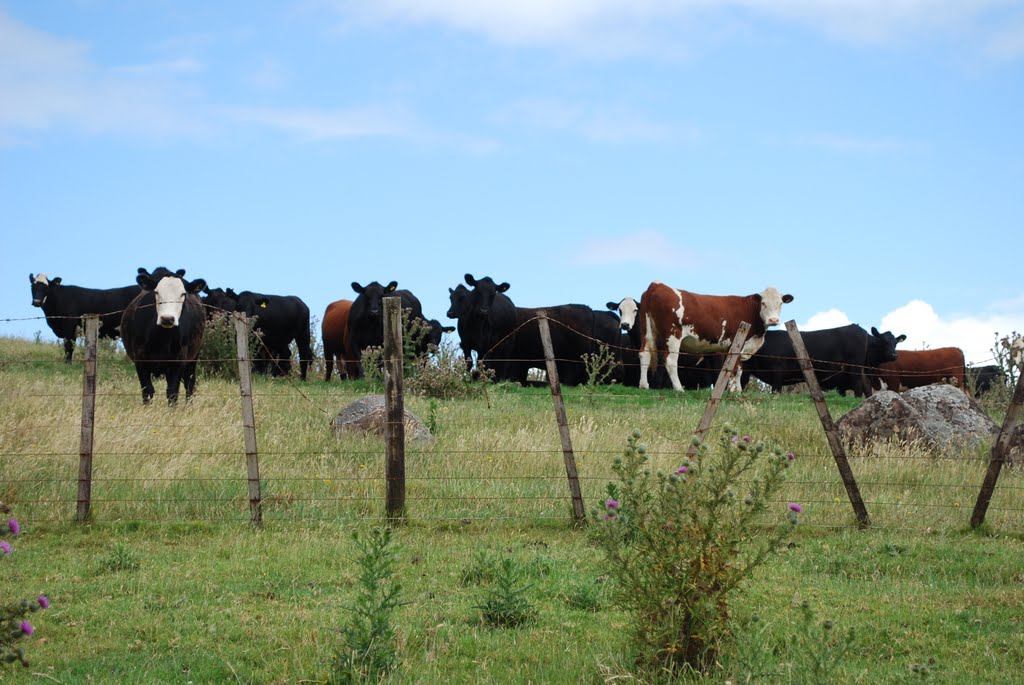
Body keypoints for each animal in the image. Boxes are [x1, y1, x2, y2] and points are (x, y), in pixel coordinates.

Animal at [119, 266, 205, 405]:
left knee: (189, 384)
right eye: (156, 292)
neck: (162, 339)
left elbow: (172, 392)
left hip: (193, 358)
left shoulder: (179, 360)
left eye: (183, 294)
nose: (167, 318)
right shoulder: (140, 359)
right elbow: (147, 391)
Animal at [634, 280, 794, 389]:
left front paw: (735, 390)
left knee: (644, 353)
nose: (773, 320)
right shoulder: (738, 344)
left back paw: (644, 385)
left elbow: (736, 370)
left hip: (647, 331)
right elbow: (736, 370)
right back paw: (679, 388)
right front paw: (735, 391)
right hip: (673, 335)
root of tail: (657, 285)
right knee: (670, 360)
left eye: (780, 303)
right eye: (763, 303)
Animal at [737, 325, 905, 395]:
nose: (894, 355)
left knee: (859, 384)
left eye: (895, 343)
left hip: (855, 367)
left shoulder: (778, 372)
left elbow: (775, 391)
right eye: (884, 341)